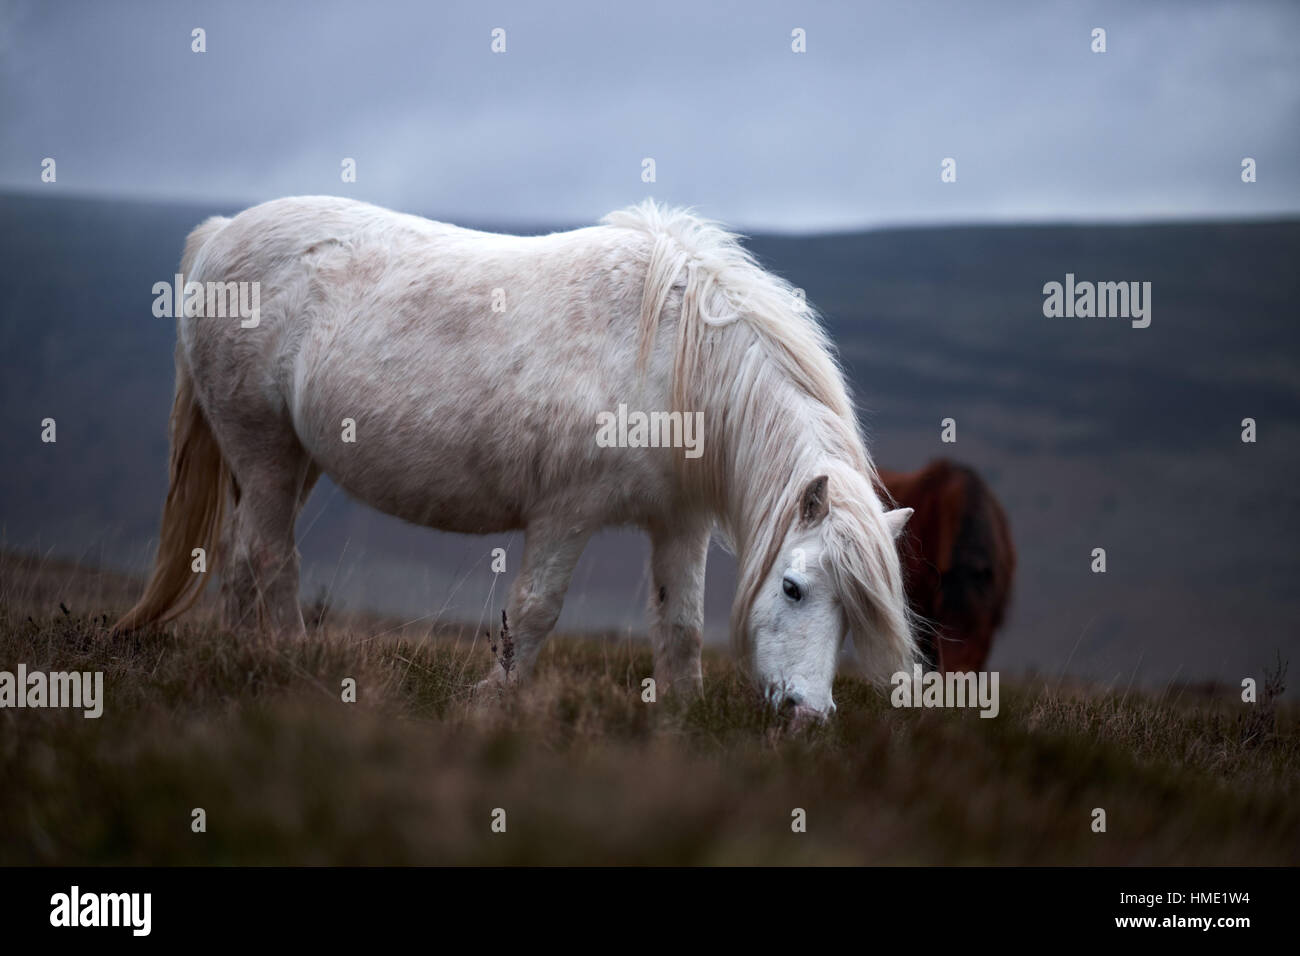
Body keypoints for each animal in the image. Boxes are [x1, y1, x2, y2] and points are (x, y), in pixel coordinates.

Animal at [115, 196, 917, 720]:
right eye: (792, 588)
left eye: (855, 611)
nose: (809, 715)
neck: (672, 356)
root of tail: (220, 233)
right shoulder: (565, 514)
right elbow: (533, 613)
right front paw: (493, 702)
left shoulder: (679, 524)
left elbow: (680, 628)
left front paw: (679, 720)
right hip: (265, 451)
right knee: (269, 558)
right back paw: (287, 659)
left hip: (286, 460)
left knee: (241, 559)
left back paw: (242, 658)